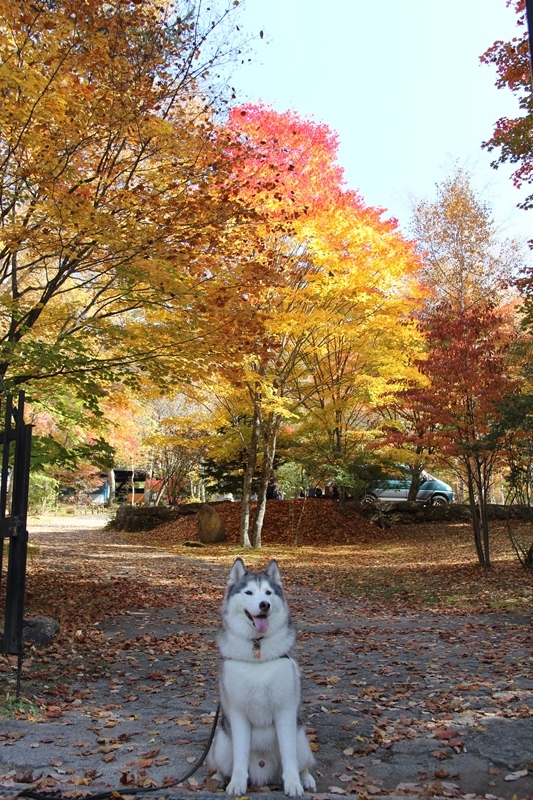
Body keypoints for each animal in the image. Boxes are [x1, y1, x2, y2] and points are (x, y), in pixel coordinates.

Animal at [208, 560, 316, 796]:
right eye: (249, 592)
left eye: (268, 592)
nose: (264, 604)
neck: (257, 650)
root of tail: (263, 775)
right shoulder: (238, 714)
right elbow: (240, 755)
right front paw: (237, 784)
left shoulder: (285, 712)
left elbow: (289, 755)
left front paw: (293, 784)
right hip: (221, 745)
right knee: (221, 764)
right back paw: (219, 778)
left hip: (301, 740)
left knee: (303, 762)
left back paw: (306, 778)